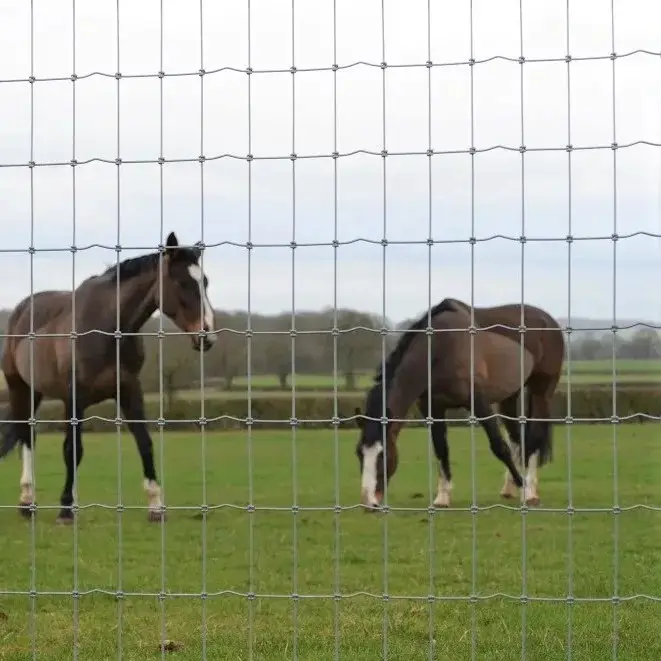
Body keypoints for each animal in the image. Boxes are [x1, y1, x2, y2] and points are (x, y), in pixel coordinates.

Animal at [0, 232, 217, 524]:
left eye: (204, 281)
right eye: (182, 282)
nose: (207, 335)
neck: (106, 328)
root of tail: (21, 310)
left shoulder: (129, 390)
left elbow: (144, 443)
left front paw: (156, 506)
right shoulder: (73, 398)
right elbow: (72, 449)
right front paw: (65, 508)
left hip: (36, 391)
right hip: (19, 388)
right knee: (26, 436)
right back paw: (26, 501)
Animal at [354, 296, 564, 508]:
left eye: (383, 454)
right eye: (359, 453)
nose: (368, 502)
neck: (442, 347)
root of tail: (549, 320)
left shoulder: (479, 403)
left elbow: (499, 446)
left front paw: (525, 489)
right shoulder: (433, 408)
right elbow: (441, 448)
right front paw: (442, 498)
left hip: (541, 392)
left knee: (533, 439)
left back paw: (531, 491)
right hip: (509, 397)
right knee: (518, 439)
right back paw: (509, 488)